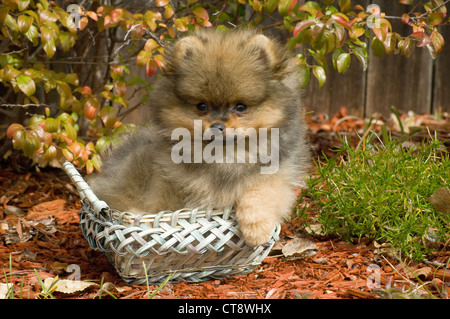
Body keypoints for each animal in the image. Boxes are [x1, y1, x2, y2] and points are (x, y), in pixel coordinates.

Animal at [89, 28, 312, 248]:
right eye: (202, 106)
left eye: (241, 107)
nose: (217, 126)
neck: (223, 158)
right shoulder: (169, 180)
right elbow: (165, 207)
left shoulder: (278, 172)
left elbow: (263, 192)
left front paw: (256, 228)